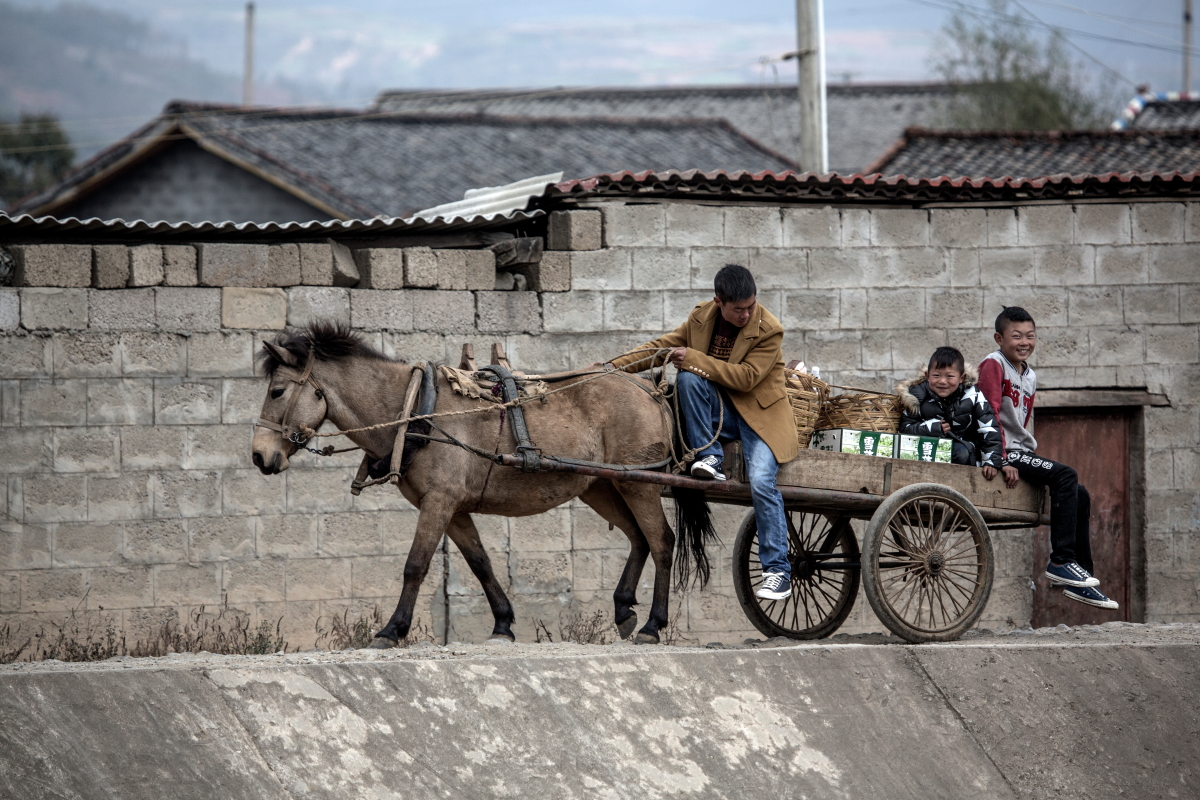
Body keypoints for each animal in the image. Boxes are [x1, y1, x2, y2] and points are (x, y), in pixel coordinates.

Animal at [247, 321, 705, 647]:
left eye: (277, 390)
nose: (259, 456)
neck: (416, 410)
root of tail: (648, 387)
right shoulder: (452, 507)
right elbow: (480, 563)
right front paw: (503, 623)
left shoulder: (440, 501)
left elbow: (415, 565)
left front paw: (391, 631)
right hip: (604, 486)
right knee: (638, 538)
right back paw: (624, 610)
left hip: (639, 485)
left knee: (661, 541)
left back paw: (652, 625)